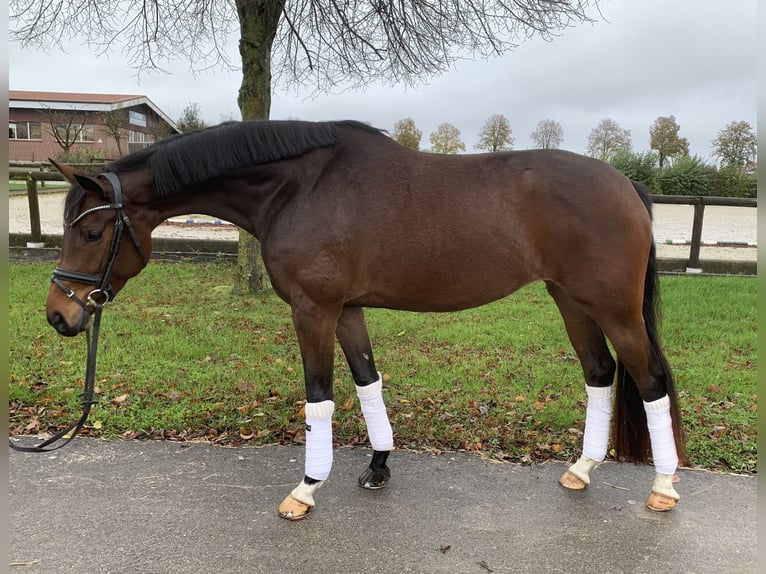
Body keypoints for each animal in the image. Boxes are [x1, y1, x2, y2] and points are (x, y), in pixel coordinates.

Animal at [45, 120, 688, 520]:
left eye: (92, 232)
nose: (60, 314)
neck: (299, 187)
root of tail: (626, 184)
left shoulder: (313, 309)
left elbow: (319, 395)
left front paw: (306, 489)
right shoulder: (346, 309)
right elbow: (366, 381)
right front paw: (379, 467)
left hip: (613, 309)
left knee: (651, 380)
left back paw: (663, 487)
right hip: (571, 301)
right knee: (600, 374)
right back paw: (582, 469)